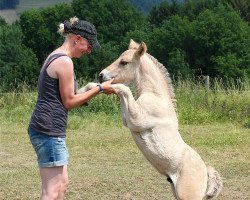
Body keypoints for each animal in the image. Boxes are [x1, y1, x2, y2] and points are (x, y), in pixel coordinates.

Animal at [79, 39, 222, 199]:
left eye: (124, 62)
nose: (101, 75)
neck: (156, 96)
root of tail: (207, 172)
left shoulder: (136, 120)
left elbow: (123, 88)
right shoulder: (127, 119)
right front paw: (81, 93)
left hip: (187, 195)